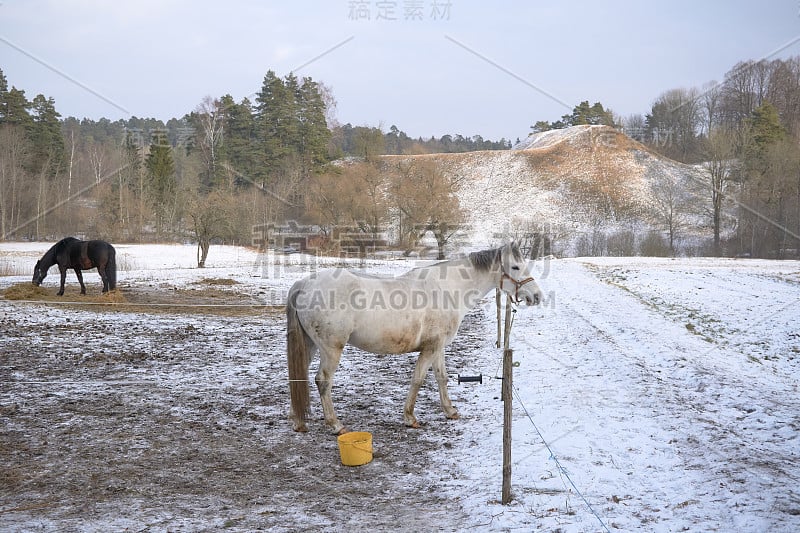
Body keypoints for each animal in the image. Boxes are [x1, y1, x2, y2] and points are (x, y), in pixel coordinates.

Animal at [284, 241, 540, 432]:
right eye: (515, 267)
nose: (536, 296)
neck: (448, 289)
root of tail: (303, 284)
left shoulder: (438, 347)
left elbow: (441, 378)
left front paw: (450, 411)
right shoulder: (430, 348)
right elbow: (418, 379)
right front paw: (409, 418)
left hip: (309, 346)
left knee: (298, 376)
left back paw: (298, 421)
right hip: (331, 349)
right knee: (322, 380)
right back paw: (335, 424)